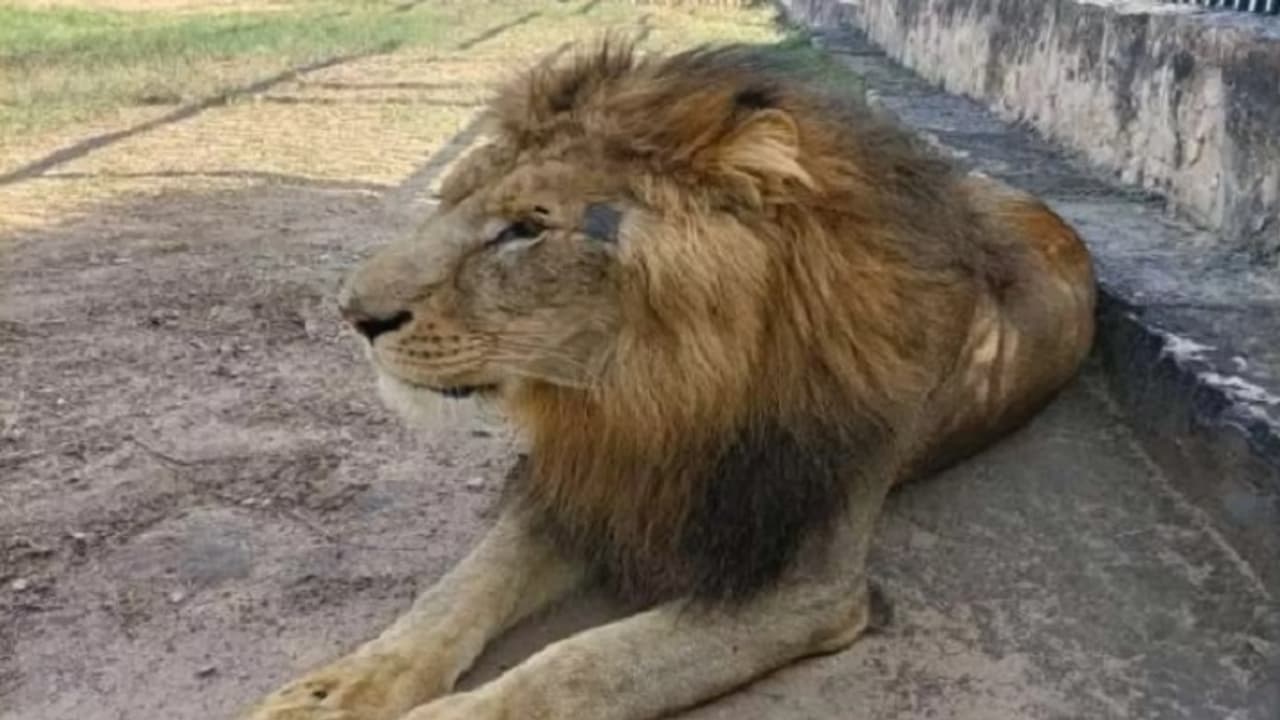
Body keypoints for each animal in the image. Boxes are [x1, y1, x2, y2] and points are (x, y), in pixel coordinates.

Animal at [243, 39, 1095, 720]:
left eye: (526, 228)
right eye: (448, 199)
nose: (353, 314)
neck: (652, 392)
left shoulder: (807, 586)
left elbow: (582, 665)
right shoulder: (585, 482)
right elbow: (459, 589)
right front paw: (335, 690)